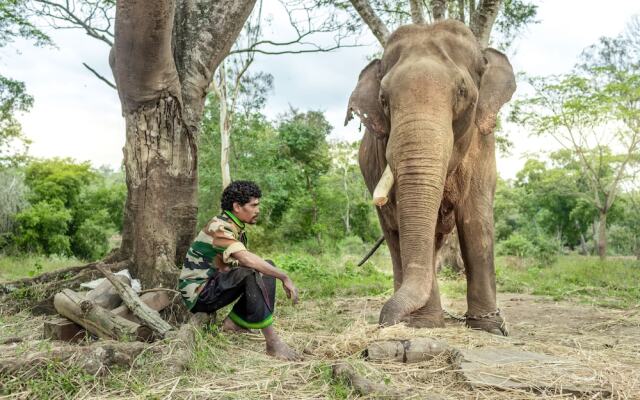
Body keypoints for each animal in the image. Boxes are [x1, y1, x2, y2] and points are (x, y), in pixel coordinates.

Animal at [344, 20, 516, 336]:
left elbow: (476, 220)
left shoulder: (483, 143)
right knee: (393, 235)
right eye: (383, 99)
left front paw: (491, 329)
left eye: (462, 91)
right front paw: (425, 325)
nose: (384, 322)